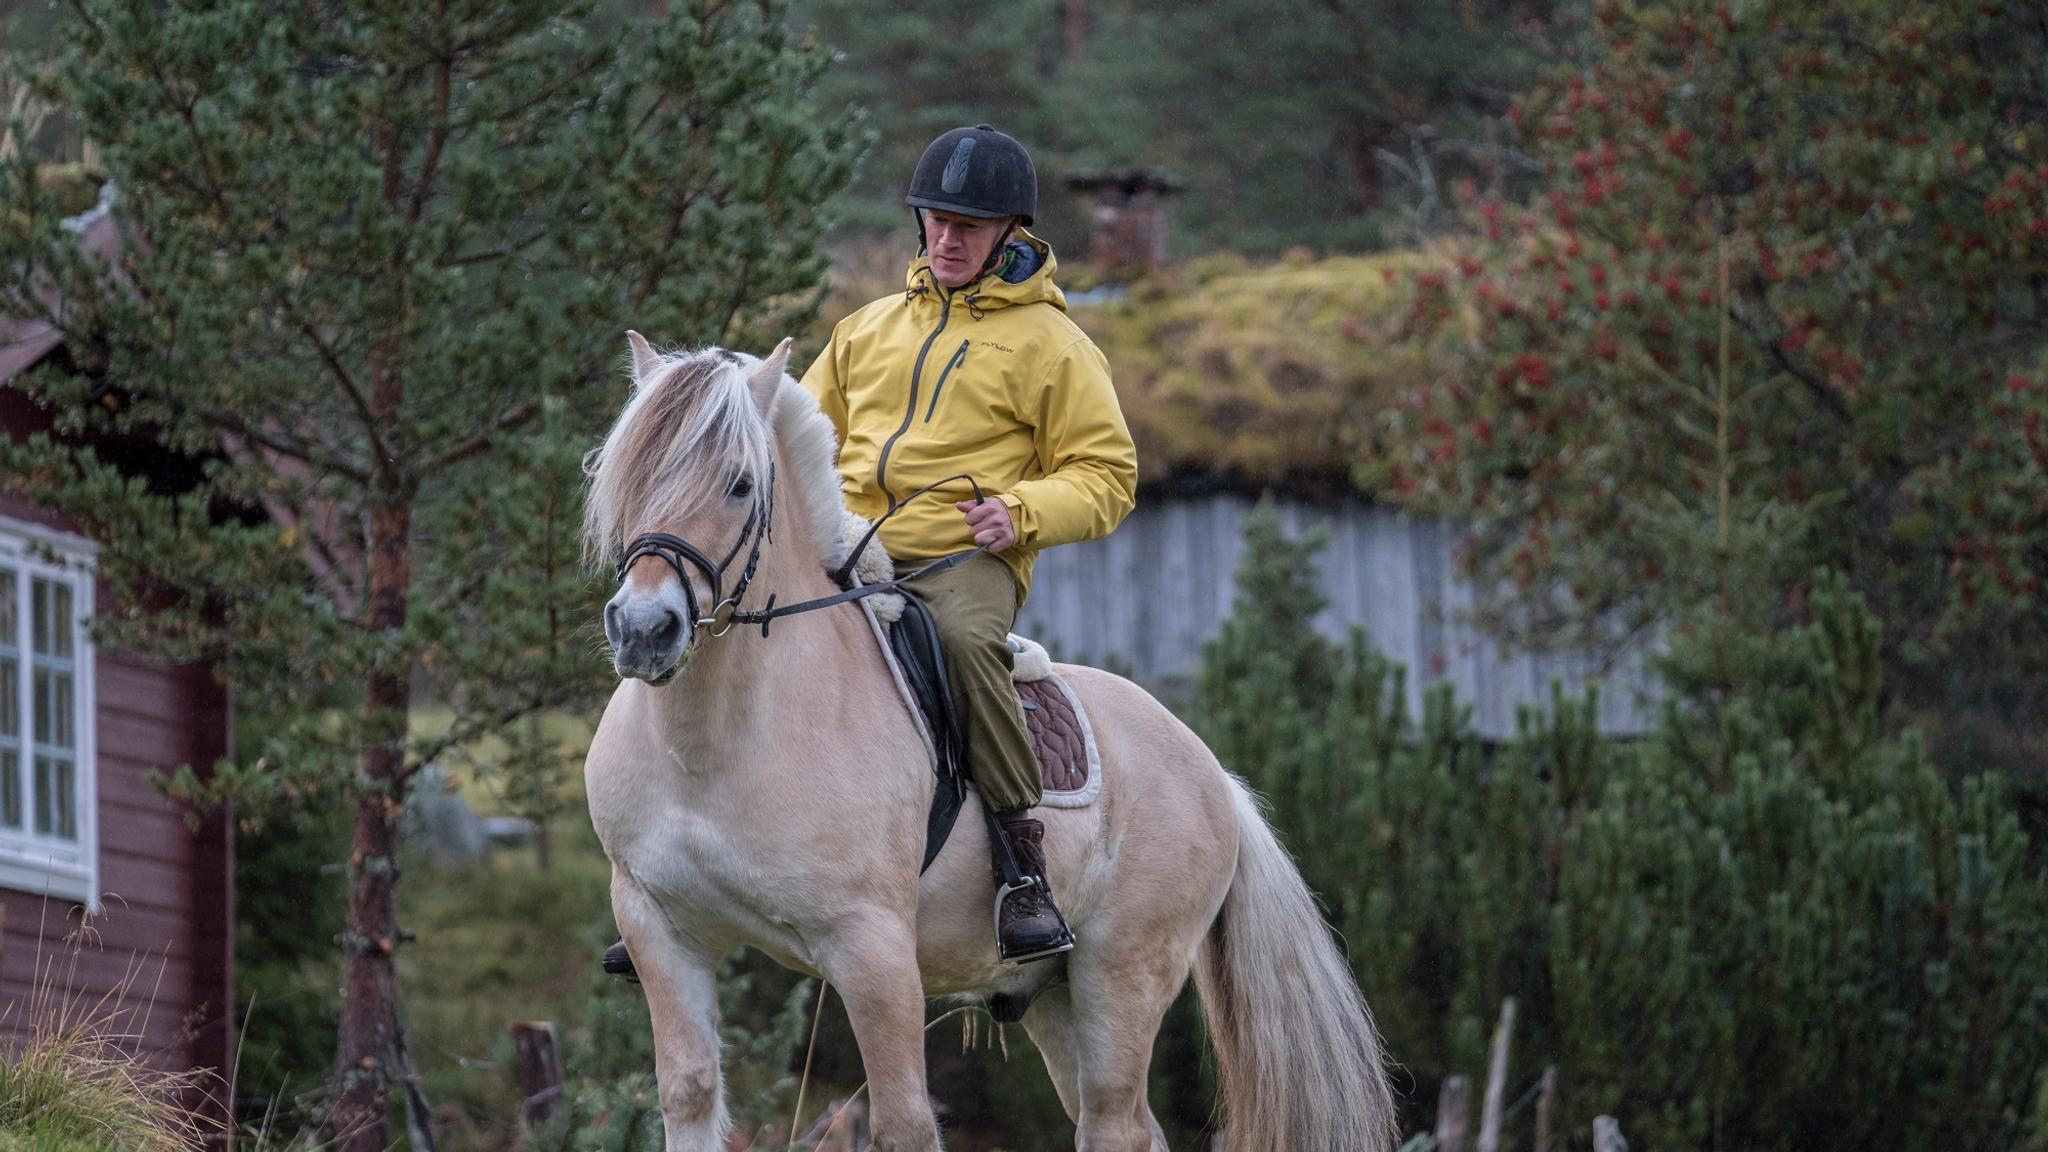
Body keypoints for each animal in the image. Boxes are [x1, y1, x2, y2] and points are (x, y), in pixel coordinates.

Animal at [581, 333, 1397, 1152]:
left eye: (740, 485)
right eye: (622, 474)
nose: (644, 631)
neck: (714, 747)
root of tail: (1212, 774)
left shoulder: (873, 951)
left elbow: (904, 1123)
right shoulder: (661, 929)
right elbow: (690, 1093)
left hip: (1121, 980)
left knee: (1115, 1121)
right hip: (1055, 1002)